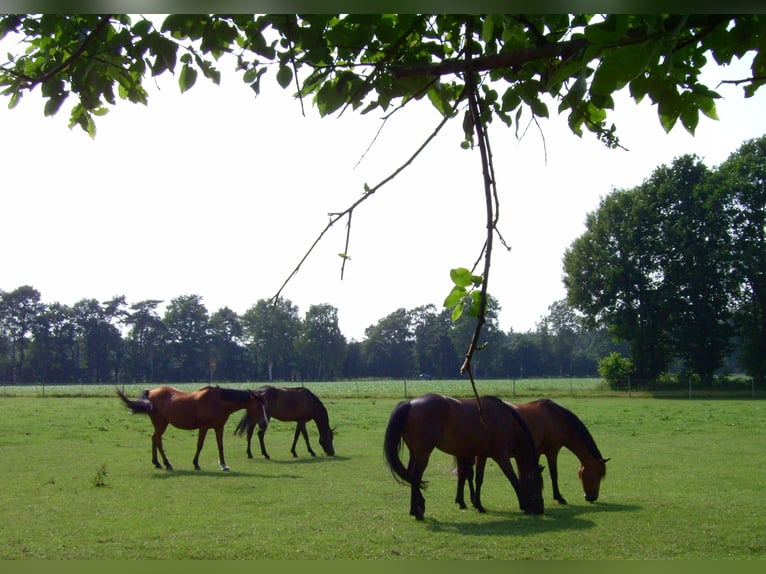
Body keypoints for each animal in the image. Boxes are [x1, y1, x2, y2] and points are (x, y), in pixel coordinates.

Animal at [116, 385, 269, 471]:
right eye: (257, 405)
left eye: (264, 404)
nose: (264, 423)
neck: (218, 401)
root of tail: (151, 392)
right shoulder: (204, 427)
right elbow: (199, 445)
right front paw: (196, 464)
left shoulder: (219, 427)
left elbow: (220, 446)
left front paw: (223, 465)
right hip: (160, 424)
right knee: (158, 441)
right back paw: (167, 464)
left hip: (161, 424)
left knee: (154, 439)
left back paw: (157, 463)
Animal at [383, 393, 544, 520]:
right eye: (537, 484)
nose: (540, 509)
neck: (505, 419)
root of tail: (410, 403)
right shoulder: (501, 455)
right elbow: (513, 478)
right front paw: (525, 506)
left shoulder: (482, 455)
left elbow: (479, 479)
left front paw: (478, 505)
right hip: (423, 454)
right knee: (416, 478)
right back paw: (418, 510)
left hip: (414, 454)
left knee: (411, 477)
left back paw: (414, 509)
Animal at [455, 397, 609, 511]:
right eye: (596, 475)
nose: (592, 497)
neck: (555, 417)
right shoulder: (552, 451)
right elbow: (554, 474)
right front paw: (559, 497)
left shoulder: (537, 453)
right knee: (466, 474)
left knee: (465, 474)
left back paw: (464, 501)